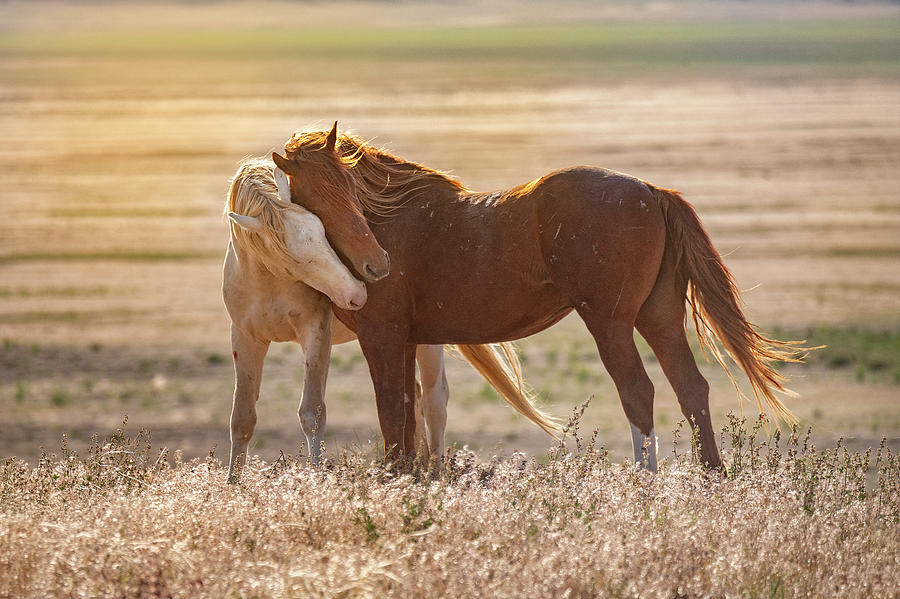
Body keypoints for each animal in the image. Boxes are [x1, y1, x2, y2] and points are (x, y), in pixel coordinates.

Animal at [222, 158, 556, 482]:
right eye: (295, 257)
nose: (356, 292)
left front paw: (315, 477)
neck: (268, 280)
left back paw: (435, 471)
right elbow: (242, 418)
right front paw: (233, 483)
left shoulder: (316, 334)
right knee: (417, 397)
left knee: (435, 400)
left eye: (323, 231)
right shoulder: (246, 338)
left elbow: (311, 413)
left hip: (427, 342)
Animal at [271, 122, 812, 471]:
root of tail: (650, 191)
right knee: (691, 389)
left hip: (610, 323)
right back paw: (712, 480)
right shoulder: (405, 342)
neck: (391, 219)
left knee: (639, 392)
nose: (375, 265)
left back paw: (645, 486)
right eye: (316, 197)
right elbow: (406, 418)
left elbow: (392, 414)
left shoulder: (382, 339)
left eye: (348, 185)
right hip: (658, 318)